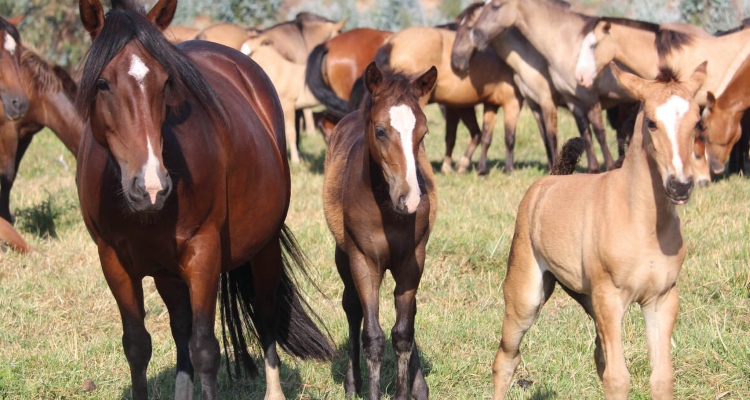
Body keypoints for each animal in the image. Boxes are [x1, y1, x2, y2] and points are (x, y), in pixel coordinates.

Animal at [77, 1, 334, 398]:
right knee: (180, 326)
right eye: (102, 83)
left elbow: (205, 350)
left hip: (264, 246)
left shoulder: (203, 254)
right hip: (167, 272)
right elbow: (137, 345)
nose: (151, 186)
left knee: (266, 311)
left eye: (167, 82)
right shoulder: (114, 262)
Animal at [324, 61, 440, 398]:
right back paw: (352, 384)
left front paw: (408, 389)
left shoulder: (412, 261)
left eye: (423, 132)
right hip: (343, 255)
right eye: (380, 131)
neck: (387, 210)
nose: (410, 198)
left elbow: (403, 333)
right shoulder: (364, 261)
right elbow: (373, 337)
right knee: (352, 308)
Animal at [496, 62, 708, 400]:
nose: (680, 185)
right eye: (651, 123)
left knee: (599, 353)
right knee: (507, 357)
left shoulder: (662, 300)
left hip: (587, 299)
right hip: (527, 296)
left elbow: (662, 377)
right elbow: (618, 379)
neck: (644, 224)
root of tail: (548, 180)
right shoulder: (610, 298)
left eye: (697, 123)